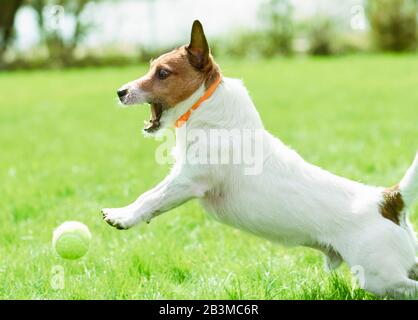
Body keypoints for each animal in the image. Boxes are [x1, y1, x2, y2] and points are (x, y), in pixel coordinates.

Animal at [102, 21, 418, 298]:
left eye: (163, 73)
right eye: (151, 68)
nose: (119, 92)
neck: (206, 106)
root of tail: (389, 199)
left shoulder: (188, 181)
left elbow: (150, 198)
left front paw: (122, 217)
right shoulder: (182, 175)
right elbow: (151, 196)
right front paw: (122, 211)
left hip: (379, 277)